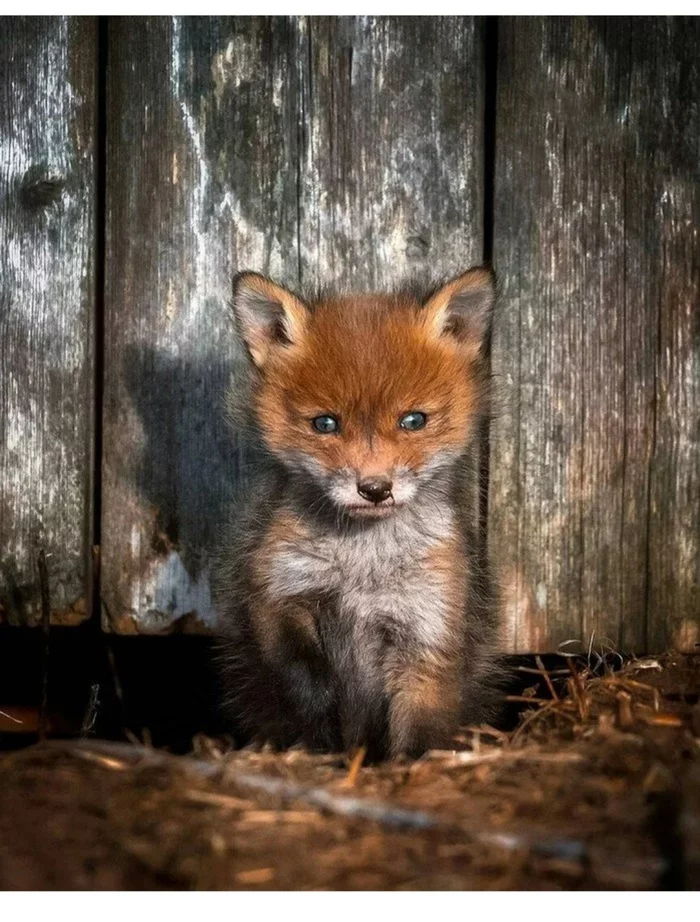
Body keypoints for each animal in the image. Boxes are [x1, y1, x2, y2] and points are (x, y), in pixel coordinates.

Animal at [213, 267, 502, 759]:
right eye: (325, 423)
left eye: (413, 420)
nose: (374, 489)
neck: (363, 567)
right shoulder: (278, 596)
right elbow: (308, 679)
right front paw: (325, 737)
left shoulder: (427, 633)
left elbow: (420, 729)